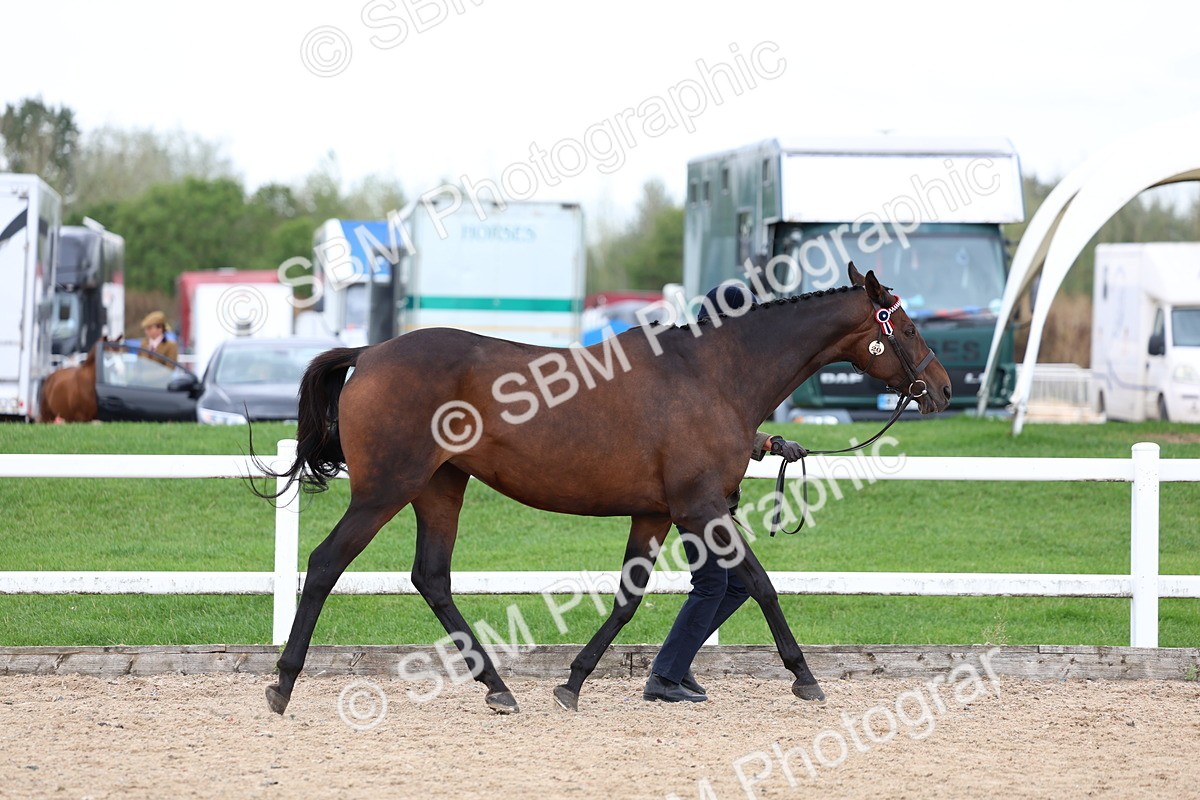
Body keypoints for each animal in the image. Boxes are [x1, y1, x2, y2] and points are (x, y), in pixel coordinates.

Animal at [259, 264, 952, 715]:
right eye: (907, 327)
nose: (943, 389)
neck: (714, 374)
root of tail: (369, 354)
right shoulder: (701, 507)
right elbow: (758, 583)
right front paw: (804, 675)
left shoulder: (657, 513)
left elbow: (628, 600)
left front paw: (575, 680)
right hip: (386, 489)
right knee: (325, 563)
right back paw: (283, 685)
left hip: (440, 488)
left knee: (431, 578)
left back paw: (499, 689)